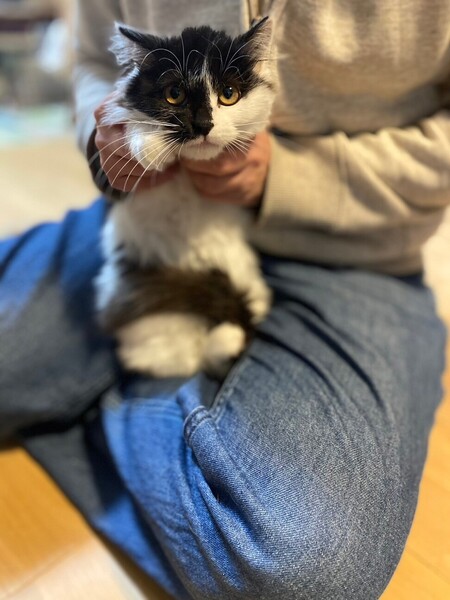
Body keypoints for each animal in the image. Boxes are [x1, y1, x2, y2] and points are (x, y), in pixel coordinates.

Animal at [95, 17, 276, 379]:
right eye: (174, 95)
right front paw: (149, 147)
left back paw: (228, 336)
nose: (204, 124)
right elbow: (132, 122)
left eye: (229, 94)